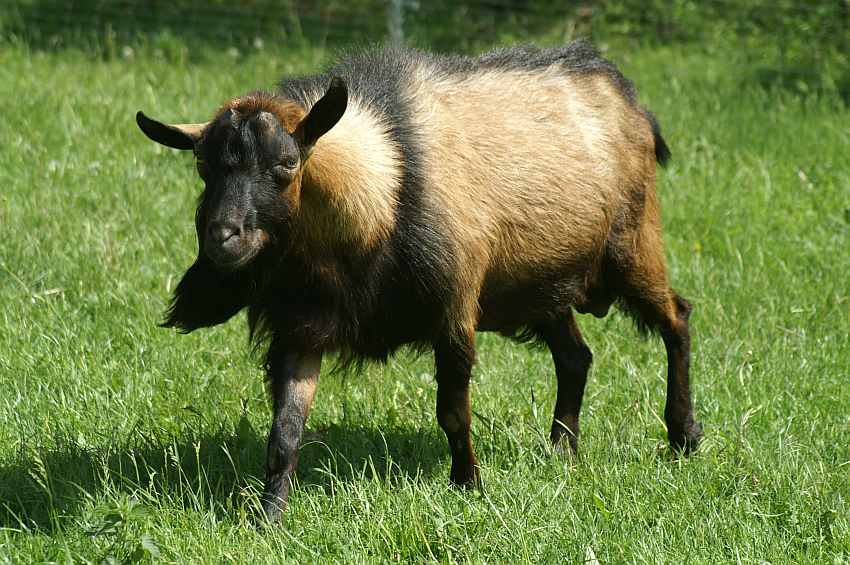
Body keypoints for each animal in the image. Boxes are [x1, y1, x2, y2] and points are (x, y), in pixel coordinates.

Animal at [136, 41, 702, 522]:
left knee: (676, 319)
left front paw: (468, 485)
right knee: (576, 357)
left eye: (287, 163)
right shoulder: (303, 325)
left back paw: (683, 437)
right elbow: (285, 432)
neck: (388, 190)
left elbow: (452, 412)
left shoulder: (454, 309)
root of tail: (631, 103)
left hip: (633, 247)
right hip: (540, 286)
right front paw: (268, 517)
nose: (222, 237)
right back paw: (562, 448)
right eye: (204, 165)